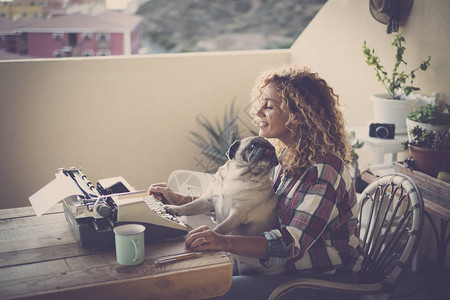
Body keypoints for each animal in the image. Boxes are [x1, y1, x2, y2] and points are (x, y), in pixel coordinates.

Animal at [165, 136, 284, 274]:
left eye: (273, 148)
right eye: (254, 145)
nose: (268, 149)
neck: (236, 177)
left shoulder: (237, 214)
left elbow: (220, 228)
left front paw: (205, 236)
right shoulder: (208, 201)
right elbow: (189, 206)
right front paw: (173, 209)